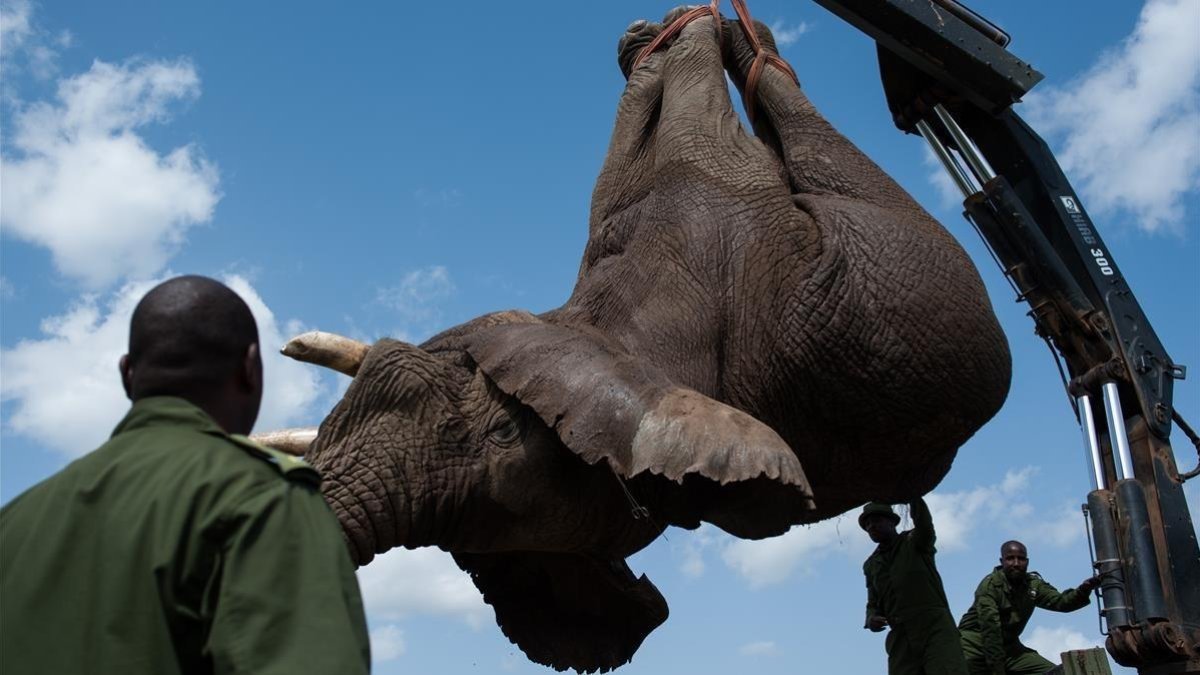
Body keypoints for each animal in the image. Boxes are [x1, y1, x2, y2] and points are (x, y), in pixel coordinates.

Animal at [266, 9, 1011, 674]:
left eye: (502, 438)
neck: (602, 328)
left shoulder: (713, 215)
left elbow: (680, 134)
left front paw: (673, 36)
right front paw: (653, 44)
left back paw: (727, 39)